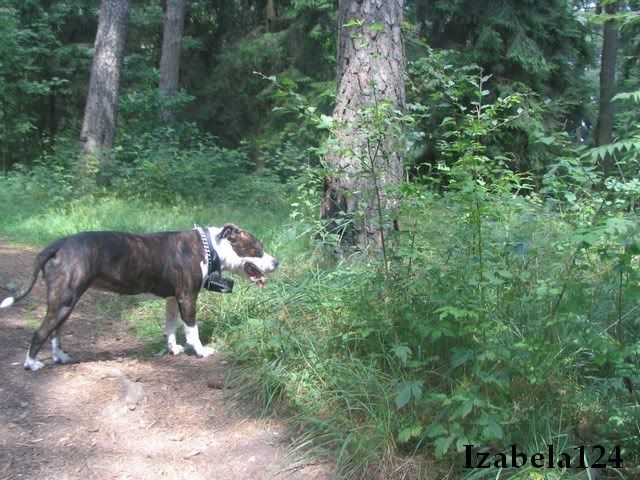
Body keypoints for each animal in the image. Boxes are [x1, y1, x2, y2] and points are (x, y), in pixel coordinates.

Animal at [0, 224, 278, 371]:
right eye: (258, 249)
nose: (276, 262)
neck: (209, 248)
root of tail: (62, 242)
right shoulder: (187, 297)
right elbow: (192, 329)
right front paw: (200, 351)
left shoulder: (172, 299)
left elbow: (170, 327)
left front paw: (173, 349)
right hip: (63, 301)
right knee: (40, 332)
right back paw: (31, 363)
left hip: (67, 302)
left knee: (55, 331)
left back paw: (60, 357)